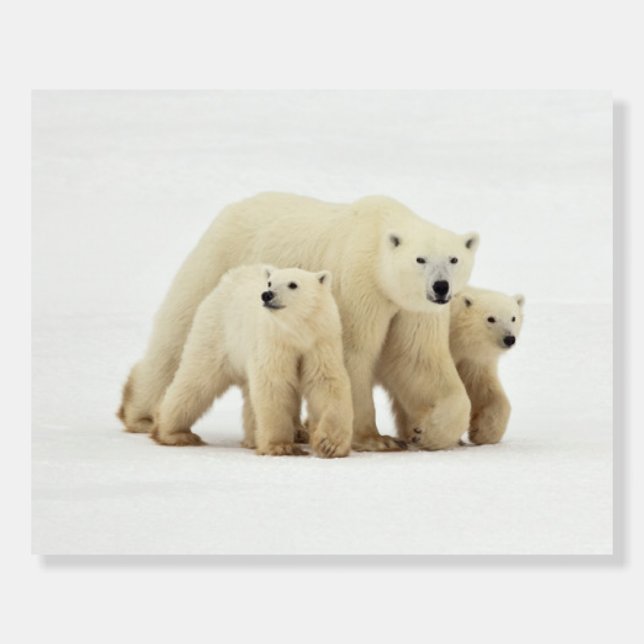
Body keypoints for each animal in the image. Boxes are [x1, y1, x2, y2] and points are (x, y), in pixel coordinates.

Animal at [151, 264, 353, 458]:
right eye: (270, 283)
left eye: (293, 284)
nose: (267, 295)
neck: (296, 332)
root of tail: (230, 277)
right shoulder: (273, 342)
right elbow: (274, 385)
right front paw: (281, 447)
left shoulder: (320, 342)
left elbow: (325, 382)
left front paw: (329, 445)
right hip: (218, 334)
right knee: (196, 381)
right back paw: (174, 433)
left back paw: (252, 439)